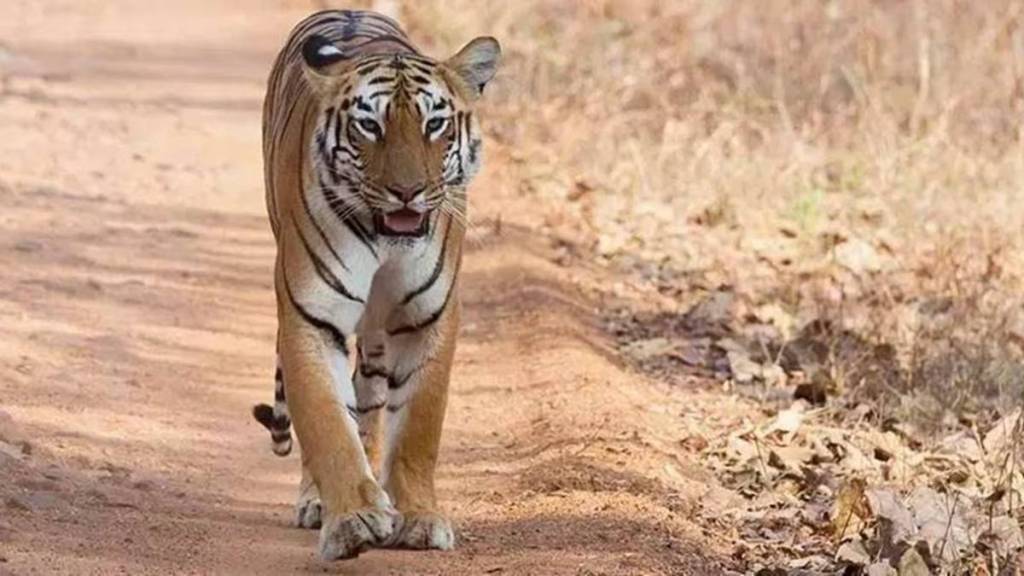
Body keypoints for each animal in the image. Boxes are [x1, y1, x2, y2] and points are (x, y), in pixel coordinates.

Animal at [249, 9, 500, 560]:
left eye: (434, 124)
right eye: (370, 125)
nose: (407, 192)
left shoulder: (429, 318)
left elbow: (418, 428)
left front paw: (419, 518)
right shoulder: (311, 317)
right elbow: (326, 422)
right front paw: (353, 519)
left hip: (378, 335)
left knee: (369, 398)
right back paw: (318, 502)